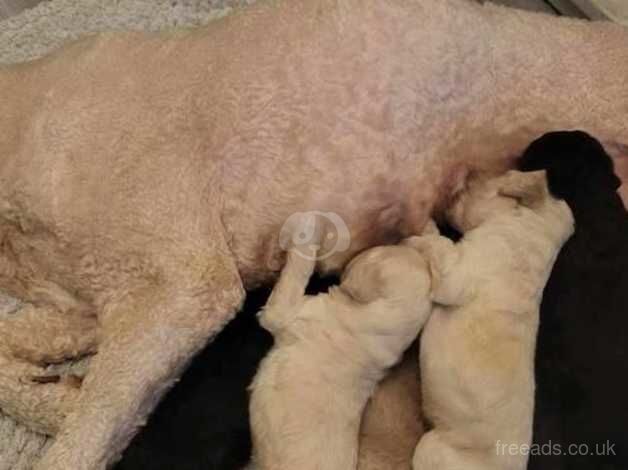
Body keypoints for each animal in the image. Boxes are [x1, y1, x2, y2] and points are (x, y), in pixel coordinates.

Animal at [410, 171, 576, 470]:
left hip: (431, 448)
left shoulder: (457, 278)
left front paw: (420, 231)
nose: (458, 181)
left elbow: (439, 244)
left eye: (483, 183)